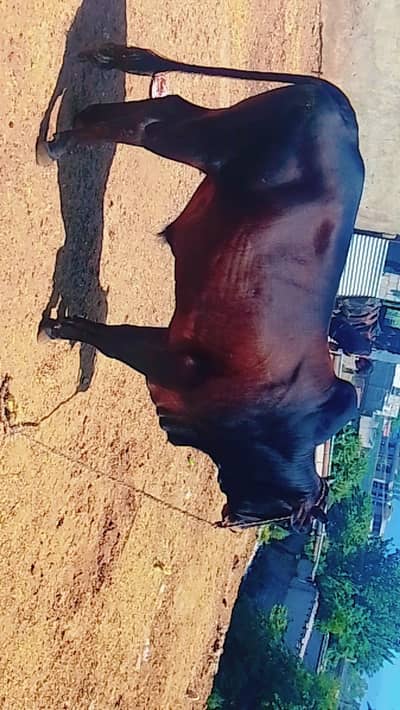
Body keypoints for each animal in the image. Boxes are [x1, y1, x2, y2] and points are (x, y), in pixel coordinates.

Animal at [36, 44, 364, 531]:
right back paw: (58, 142)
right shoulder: (173, 361)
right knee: (154, 119)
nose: (233, 519)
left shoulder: (170, 345)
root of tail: (344, 111)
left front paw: (62, 323)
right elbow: (109, 340)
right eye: (273, 519)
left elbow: (104, 332)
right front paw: (55, 329)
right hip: (202, 141)